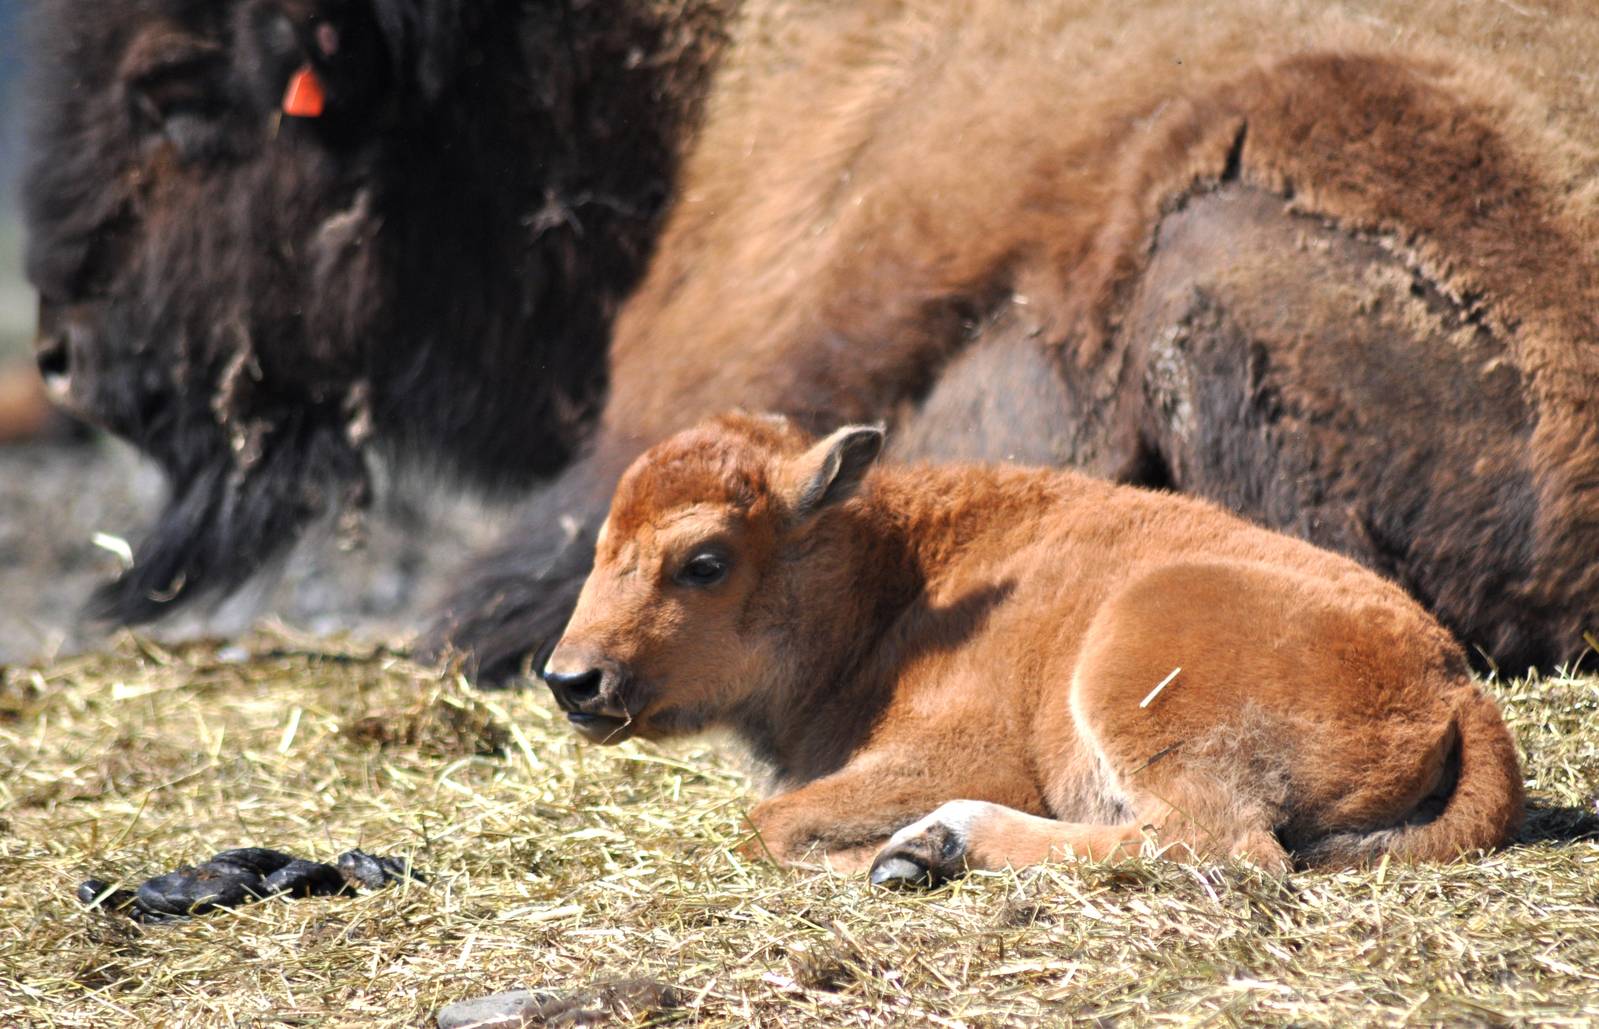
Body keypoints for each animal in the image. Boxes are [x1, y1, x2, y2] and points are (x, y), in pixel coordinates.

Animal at [543, 412, 1525, 880]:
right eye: (599, 545)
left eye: (705, 561)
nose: (570, 679)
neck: (890, 575)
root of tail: (1454, 684)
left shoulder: (959, 751)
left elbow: (769, 821)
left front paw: (883, 858)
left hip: (1131, 680)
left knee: (1219, 846)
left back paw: (937, 845)